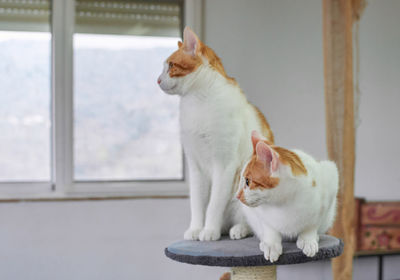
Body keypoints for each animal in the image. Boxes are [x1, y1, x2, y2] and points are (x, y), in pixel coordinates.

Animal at [157, 26, 276, 241]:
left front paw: (209, 230)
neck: (196, 102)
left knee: (252, 225)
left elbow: (213, 205)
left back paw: (237, 229)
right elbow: (197, 204)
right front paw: (196, 229)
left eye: (171, 65)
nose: (158, 80)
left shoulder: (224, 164)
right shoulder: (195, 167)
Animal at [236, 131, 340, 262]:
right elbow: (268, 225)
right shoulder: (259, 214)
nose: (237, 195)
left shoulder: (330, 181)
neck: (284, 202)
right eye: (241, 180)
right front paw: (271, 243)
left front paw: (308, 239)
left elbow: (312, 223)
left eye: (248, 181)